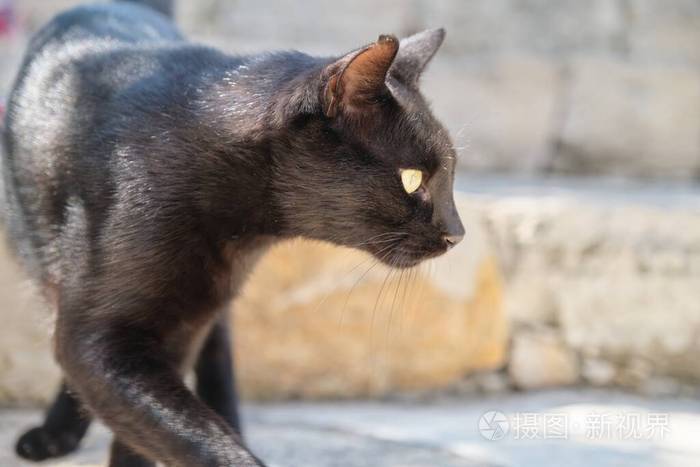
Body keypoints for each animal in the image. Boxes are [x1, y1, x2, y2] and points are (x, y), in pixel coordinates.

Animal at [4, 0, 464, 464]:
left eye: (450, 174)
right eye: (412, 178)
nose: (456, 234)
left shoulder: (177, 332)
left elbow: (149, 431)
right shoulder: (101, 338)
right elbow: (180, 430)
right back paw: (55, 433)